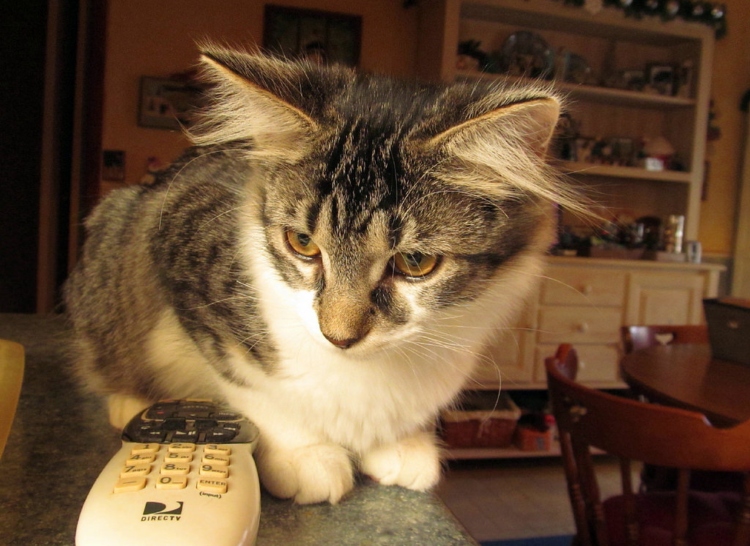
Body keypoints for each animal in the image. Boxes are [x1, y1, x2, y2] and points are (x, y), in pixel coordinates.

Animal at [64, 44, 580, 504]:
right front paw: (304, 454)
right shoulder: (188, 261)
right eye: (302, 244)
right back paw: (131, 401)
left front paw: (399, 444)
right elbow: (255, 388)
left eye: (414, 263)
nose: (339, 337)